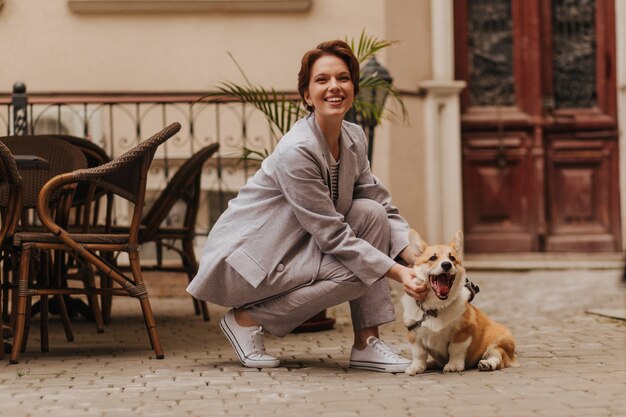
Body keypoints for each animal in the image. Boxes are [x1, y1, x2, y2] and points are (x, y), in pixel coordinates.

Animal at [402, 229, 516, 376]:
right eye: (432, 258)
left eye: (452, 258)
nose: (446, 264)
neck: (436, 306)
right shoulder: (414, 335)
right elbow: (419, 354)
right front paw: (416, 367)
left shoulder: (462, 333)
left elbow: (455, 350)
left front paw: (454, 365)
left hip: (498, 343)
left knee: (497, 356)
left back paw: (487, 364)